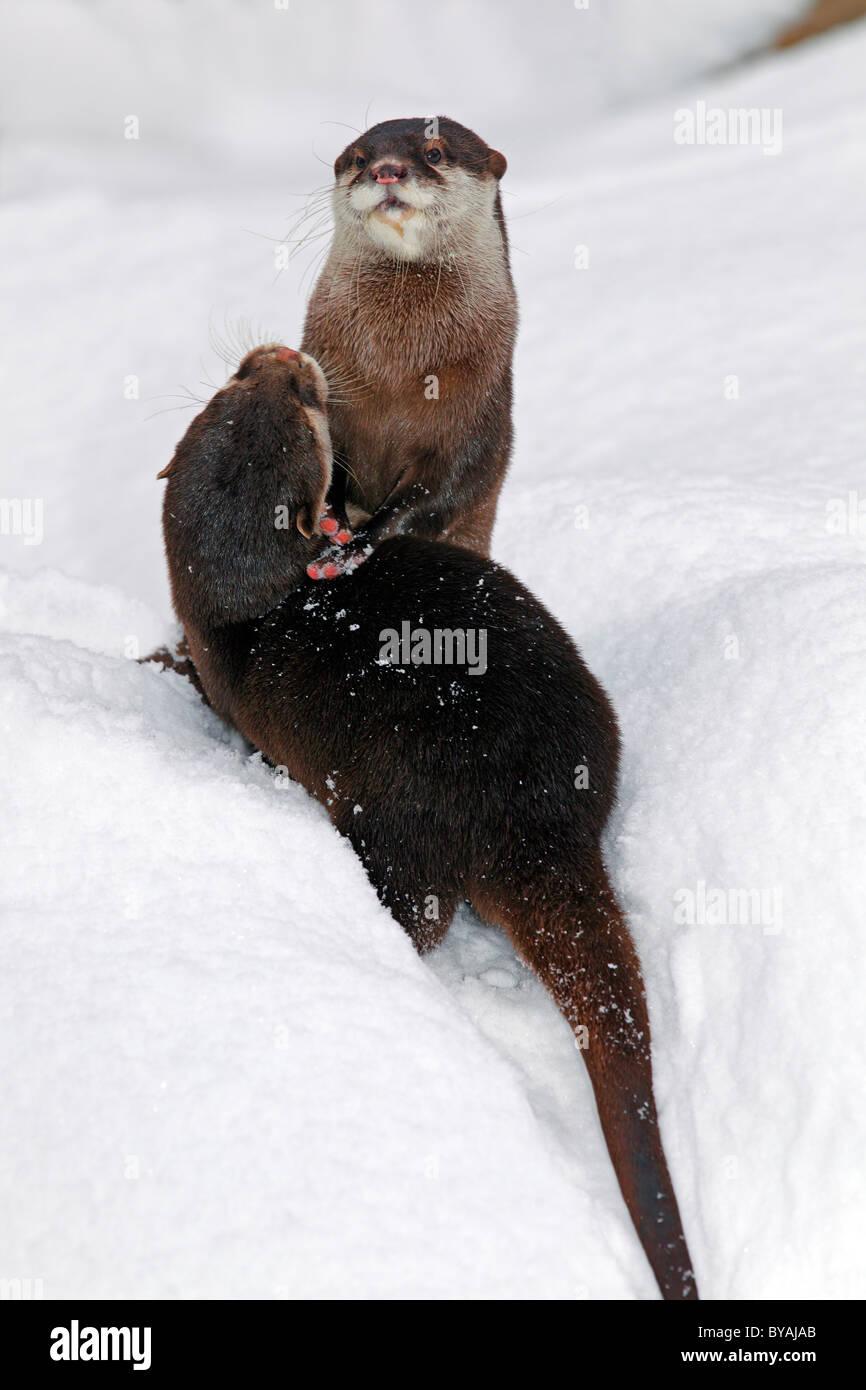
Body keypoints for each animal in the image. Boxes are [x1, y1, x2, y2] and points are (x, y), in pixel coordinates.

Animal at [154, 341, 697, 1295]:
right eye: (241, 389)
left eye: (296, 405)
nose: (285, 355)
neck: (253, 613)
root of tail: (534, 810)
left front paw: (170, 662)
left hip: (393, 817)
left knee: (420, 915)